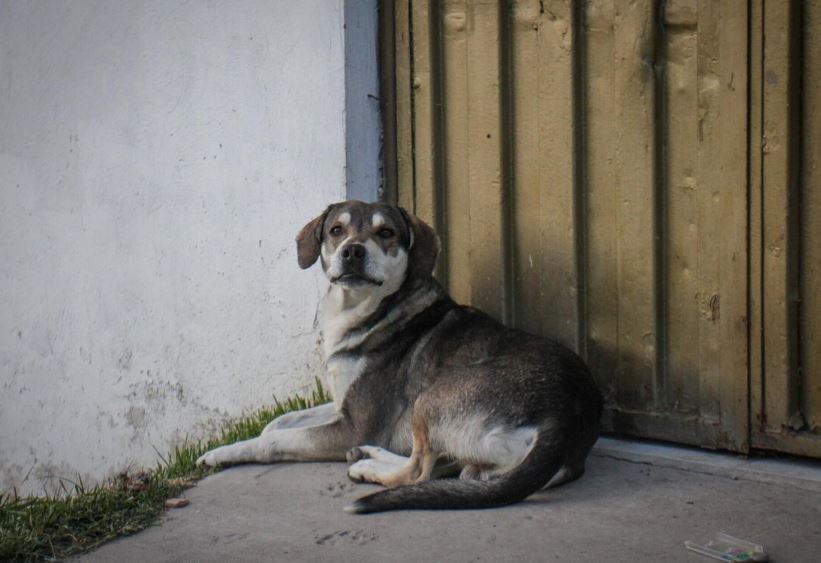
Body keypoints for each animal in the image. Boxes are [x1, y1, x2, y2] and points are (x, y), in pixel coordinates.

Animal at [195, 200, 600, 512]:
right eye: (336, 230)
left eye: (386, 233)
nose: (353, 251)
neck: (362, 310)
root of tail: (565, 416)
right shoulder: (343, 406)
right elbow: (278, 422)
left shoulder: (353, 425)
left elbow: (272, 441)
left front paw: (221, 454)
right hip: (475, 457)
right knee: (447, 468)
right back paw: (368, 455)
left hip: (431, 398)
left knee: (418, 471)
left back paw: (368, 468)